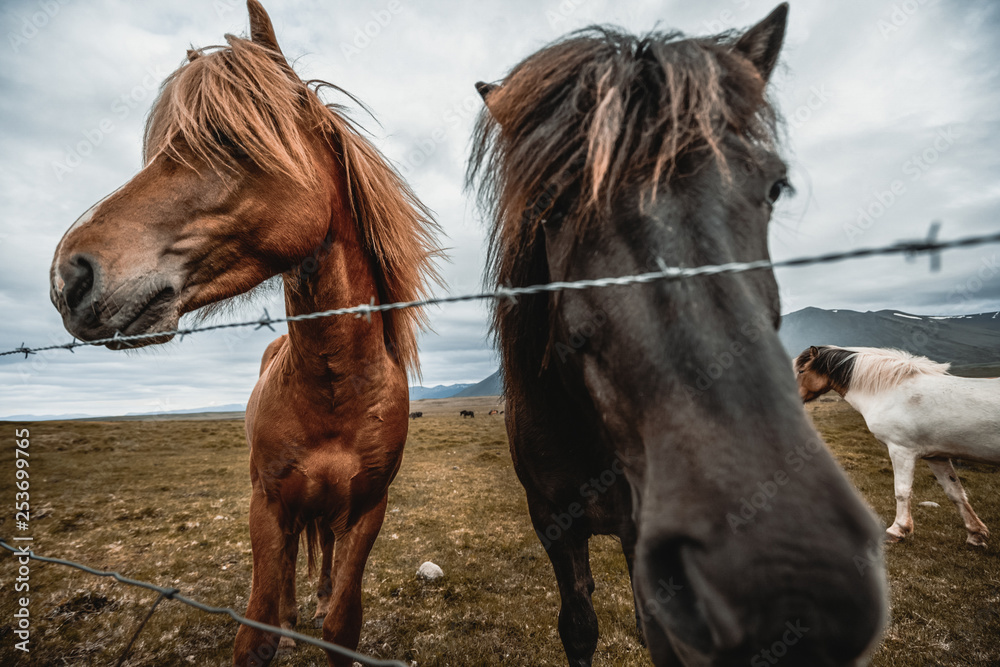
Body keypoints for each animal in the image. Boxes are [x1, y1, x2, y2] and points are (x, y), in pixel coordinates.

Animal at [47, 2, 438, 664]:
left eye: (229, 138)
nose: (69, 276)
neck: (336, 392)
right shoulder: (268, 505)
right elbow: (257, 631)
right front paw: (281, 617)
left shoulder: (367, 510)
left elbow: (343, 624)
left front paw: (327, 609)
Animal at [472, 2, 888, 664]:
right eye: (550, 204)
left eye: (774, 188)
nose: (788, 578)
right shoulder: (553, 525)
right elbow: (578, 623)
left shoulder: (642, 542)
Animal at [796, 344, 1000, 548]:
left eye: (801, 370)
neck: (890, 391)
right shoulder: (937, 457)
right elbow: (955, 492)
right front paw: (975, 534)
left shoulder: (901, 450)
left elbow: (902, 491)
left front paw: (898, 529)